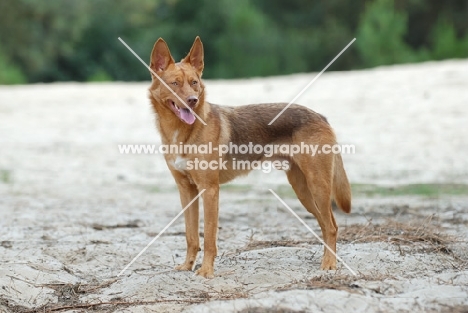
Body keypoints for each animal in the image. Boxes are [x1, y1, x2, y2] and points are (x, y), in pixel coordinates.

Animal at [148, 36, 350, 278]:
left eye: (194, 82)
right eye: (174, 84)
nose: (192, 100)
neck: (181, 132)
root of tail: (320, 116)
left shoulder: (210, 190)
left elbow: (209, 238)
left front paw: (206, 271)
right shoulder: (186, 191)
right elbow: (191, 236)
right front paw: (187, 266)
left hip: (318, 187)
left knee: (332, 226)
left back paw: (329, 264)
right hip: (304, 191)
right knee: (327, 225)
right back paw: (327, 260)